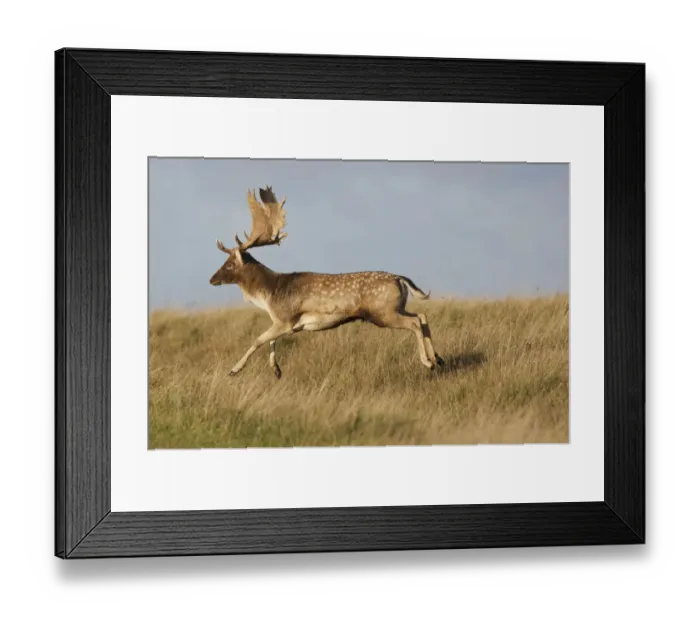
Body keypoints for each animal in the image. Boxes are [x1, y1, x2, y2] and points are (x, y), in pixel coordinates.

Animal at [209, 186, 444, 379]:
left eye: (229, 264)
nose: (212, 279)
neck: (269, 294)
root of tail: (399, 278)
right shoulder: (286, 324)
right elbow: (269, 340)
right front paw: (276, 370)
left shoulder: (286, 319)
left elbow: (258, 339)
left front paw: (234, 369)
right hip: (395, 307)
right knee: (421, 315)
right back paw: (438, 358)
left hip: (383, 312)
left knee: (414, 322)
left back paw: (428, 362)